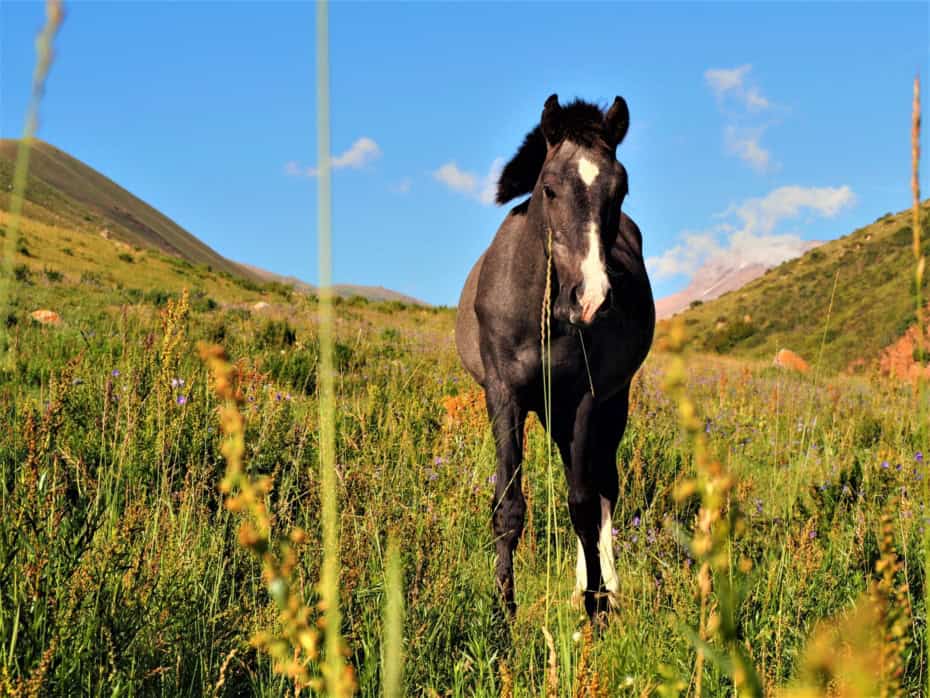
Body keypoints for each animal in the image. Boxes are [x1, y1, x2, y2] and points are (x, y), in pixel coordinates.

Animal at [454, 91, 656, 616]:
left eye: (620, 190)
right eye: (548, 188)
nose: (591, 299)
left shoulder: (584, 397)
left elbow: (583, 505)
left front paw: (597, 604)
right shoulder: (504, 395)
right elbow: (509, 505)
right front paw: (504, 608)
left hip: (609, 404)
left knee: (603, 488)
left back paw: (603, 585)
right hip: (551, 411)